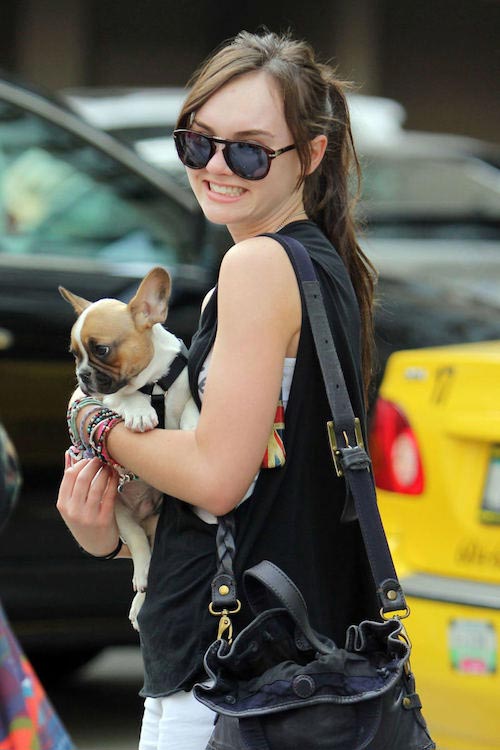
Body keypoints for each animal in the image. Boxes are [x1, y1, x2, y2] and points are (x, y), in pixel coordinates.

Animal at [60, 268, 197, 632]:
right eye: (74, 354)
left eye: (102, 349)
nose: (82, 375)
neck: (154, 383)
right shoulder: (109, 396)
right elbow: (124, 396)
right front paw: (138, 412)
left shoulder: (184, 382)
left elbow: (190, 404)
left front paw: (193, 422)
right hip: (119, 513)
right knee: (138, 543)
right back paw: (142, 579)